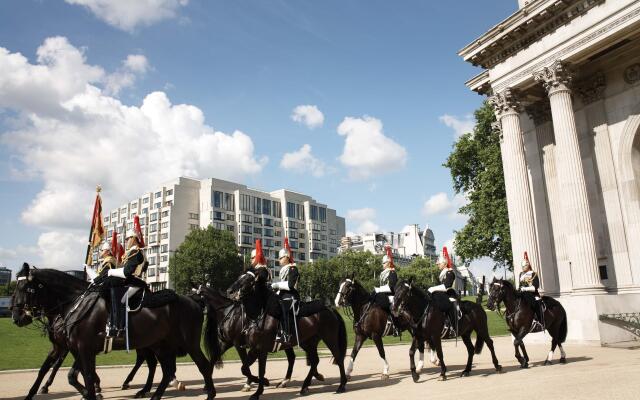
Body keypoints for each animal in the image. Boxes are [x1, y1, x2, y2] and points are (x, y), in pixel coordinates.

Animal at [9, 266, 220, 400]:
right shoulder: (72, 348)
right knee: (165, 370)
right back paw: (152, 393)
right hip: (160, 345)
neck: (75, 304)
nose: (17, 317)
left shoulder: (83, 349)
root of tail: (193, 300)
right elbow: (61, 372)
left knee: (202, 366)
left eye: (27, 288)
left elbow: (82, 375)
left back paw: (209, 394)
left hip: (187, 342)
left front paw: (92, 392)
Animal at [225, 270, 344, 398]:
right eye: (239, 277)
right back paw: (305, 386)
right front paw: (263, 383)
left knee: (338, 358)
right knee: (314, 361)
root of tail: (329, 308)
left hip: (329, 338)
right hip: (308, 343)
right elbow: (245, 369)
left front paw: (258, 391)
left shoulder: (261, 349)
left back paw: (341, 386)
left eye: (247, 280)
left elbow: (261, 370)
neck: (259, 317)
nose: (229, 292)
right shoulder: (254, 349)